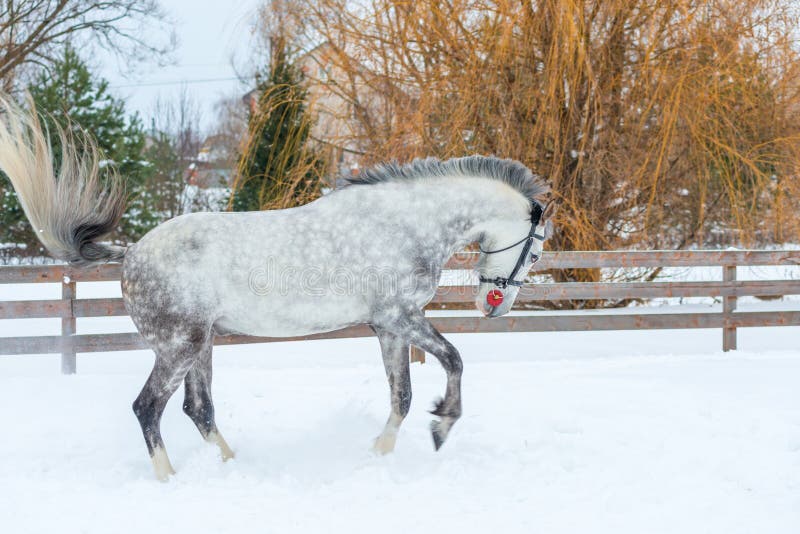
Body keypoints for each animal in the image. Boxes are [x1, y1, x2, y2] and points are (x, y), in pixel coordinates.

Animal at [0, 95, 552, 482]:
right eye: (537, 251)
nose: (493, 306)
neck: (405, 224)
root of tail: (132, 252)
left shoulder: (388, 327)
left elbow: (402, 395)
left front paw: (382, 451)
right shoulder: (400, 318)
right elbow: (454, 359)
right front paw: (441, 427)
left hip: (202, 345)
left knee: (197, 410)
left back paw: (232, 466)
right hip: (180, 347)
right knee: (148, 408)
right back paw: (169, 479)